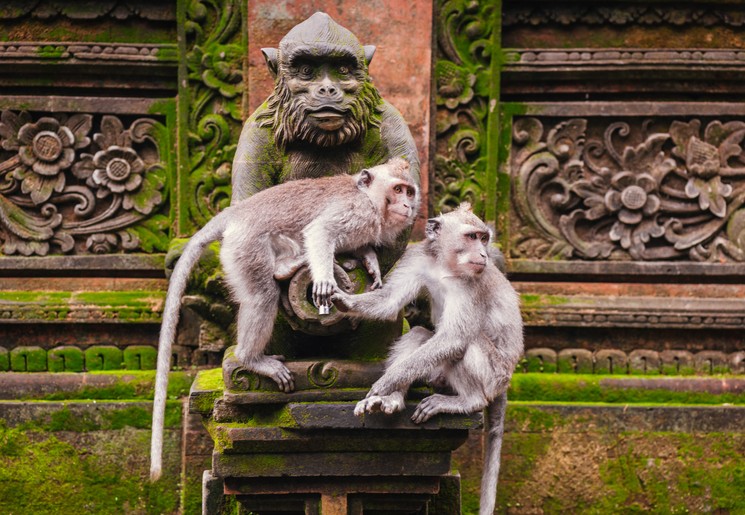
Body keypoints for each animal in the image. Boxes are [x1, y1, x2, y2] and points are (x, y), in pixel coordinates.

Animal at [149, 158, 419, 481]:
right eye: (398, 189)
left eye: (409, 191)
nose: (409, 204)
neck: (371, 201)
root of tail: (238, 211)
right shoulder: (355, 212)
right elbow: (320, 232)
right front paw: (326, 278)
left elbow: (359, 245)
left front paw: (370, 261)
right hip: (245, 248)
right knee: (262, 296)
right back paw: (252, 356)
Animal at [330, 204, 523, 515]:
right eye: (473, 237)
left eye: (484, 238)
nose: (484, 254)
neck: (446, 265)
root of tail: (507, 381)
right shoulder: (417, 258)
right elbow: (389, 301)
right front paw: (345, 301)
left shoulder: (473, 283)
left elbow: (454, 338)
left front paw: (384, 384)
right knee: (421, 334)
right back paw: (392, 401)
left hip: (494, 375)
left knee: (466, 344)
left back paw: (467, 401)